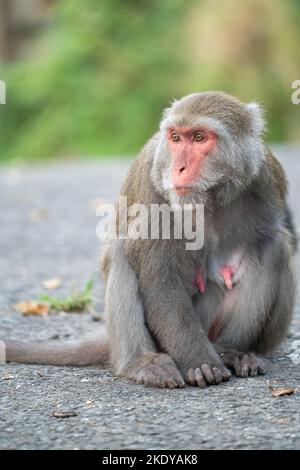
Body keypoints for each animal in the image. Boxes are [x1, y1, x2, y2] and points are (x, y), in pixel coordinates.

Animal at [3, 92, 296, 390]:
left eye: (199, 137)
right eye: (176, 137)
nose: (179, 168)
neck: (210, 196)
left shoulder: (266, 176)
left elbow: (278, 236)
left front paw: (229, 355)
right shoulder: (154, 188)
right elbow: (159, 280)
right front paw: (201, 362)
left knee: (275, 246)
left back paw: (231, 351)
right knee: (122, 251)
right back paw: (142, 362)